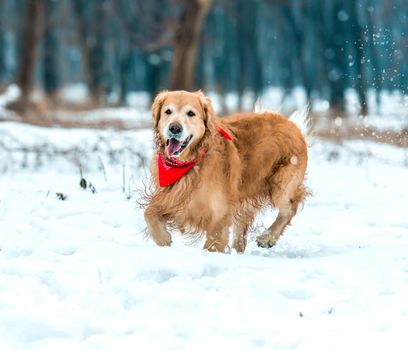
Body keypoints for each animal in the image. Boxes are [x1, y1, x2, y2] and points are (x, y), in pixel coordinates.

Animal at [144, 89, 310, 252]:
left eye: (190, 113)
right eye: (168, 111)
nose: (174, 128)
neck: (192, 162)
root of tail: (292, 124)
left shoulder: (219, 211)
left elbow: (213, 241)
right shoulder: (172, 197)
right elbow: (149, 212)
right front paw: (163, 239)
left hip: (281, 185)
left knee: (289, 209)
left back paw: (267, 237)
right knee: (241, 232)